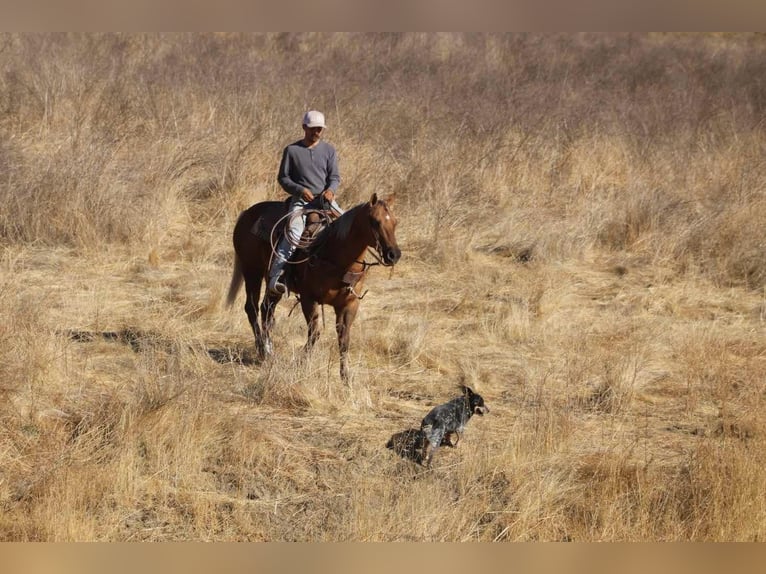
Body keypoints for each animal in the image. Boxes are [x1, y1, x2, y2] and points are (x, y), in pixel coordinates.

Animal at [226, 193, 401, 381]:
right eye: (375, 221)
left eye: (395, 222)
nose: (394, 255)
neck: (336, 256)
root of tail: (246, 214)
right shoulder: (309, 299)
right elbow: (314, 333)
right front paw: (301, 363)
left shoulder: (349, 304)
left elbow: (344, 339)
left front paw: (345, 377)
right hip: (252, 271)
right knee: (252, 308)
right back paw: (261, 350)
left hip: (272, 283)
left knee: (267, 310)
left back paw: (268, 349)